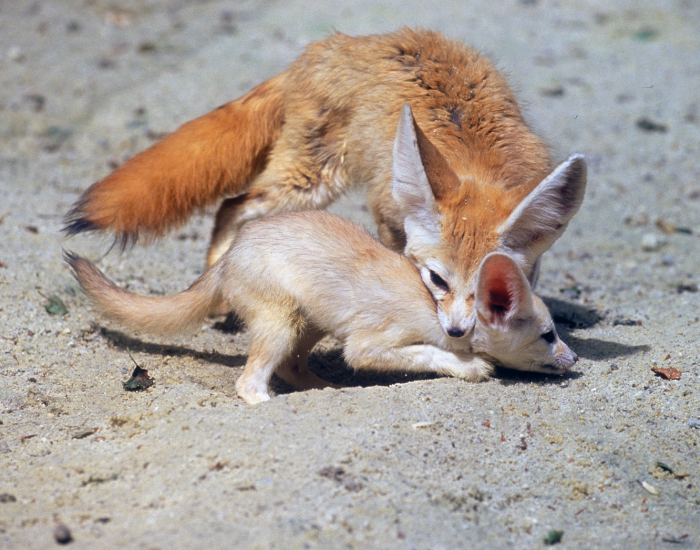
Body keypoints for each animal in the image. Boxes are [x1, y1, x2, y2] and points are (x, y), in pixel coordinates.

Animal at [63, 28, 587, 338]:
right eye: (438, 279)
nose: (458, 332)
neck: (477, 160)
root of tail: (335, 45)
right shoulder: (387, 211)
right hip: (307, 181)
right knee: (233, 206)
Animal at [66, 210, 578, 405]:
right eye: (548, 335)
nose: (573, 359)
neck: (449, 315)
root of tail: (228, 256)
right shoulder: (369, 345)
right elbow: (430, 354)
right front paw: (471, 366)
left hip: (308, 323)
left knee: (292, 368)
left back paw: (326, 390)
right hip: (280, 323)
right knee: (249, 381)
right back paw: (272, 403)